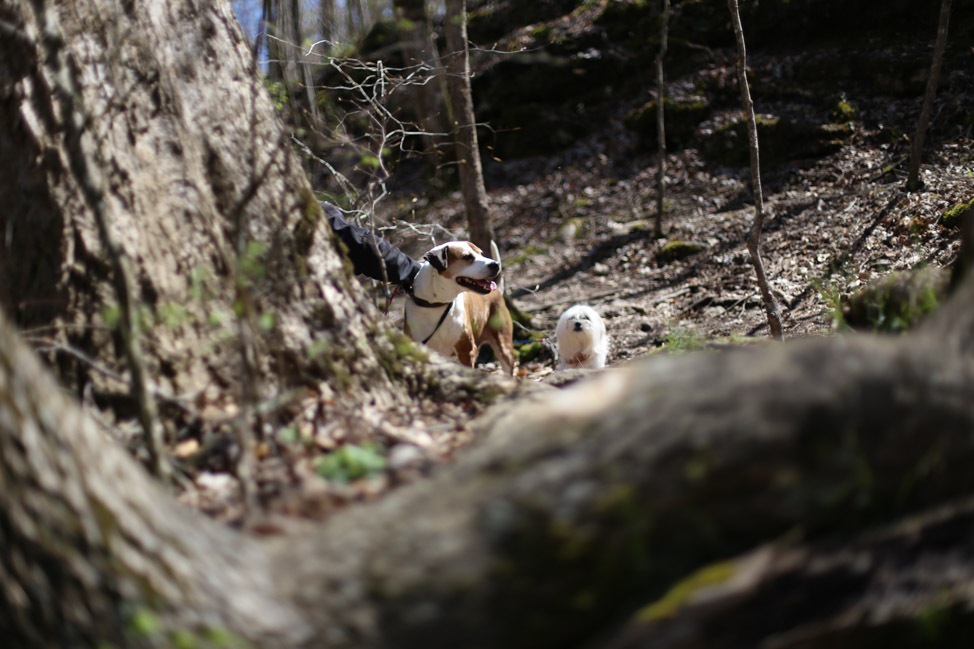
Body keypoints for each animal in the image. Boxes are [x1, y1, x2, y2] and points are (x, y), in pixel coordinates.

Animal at [404, 242, 520, 374]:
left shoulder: (466, 352)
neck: (436, 304)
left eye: (481, 253)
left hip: (504, 346)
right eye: (467, 257)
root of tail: (498, 293)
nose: (495, 264)